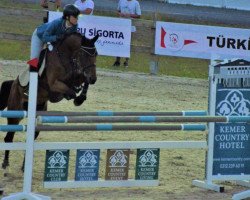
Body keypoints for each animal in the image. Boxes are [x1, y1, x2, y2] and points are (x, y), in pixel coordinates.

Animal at [0, 32, 99, 170]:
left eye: (96, 54)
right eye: (84, 55)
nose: (93, 78)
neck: (65, 56)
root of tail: (13, 84)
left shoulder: (77, 76)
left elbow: (82, 81)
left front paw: (80, 98)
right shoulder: (54, 85)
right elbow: (70, 91)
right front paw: (76, 98)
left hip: (38, 117)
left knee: (31, 138)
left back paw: (24, 166)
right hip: (15, 114)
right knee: (9, 137)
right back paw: (5, 163)